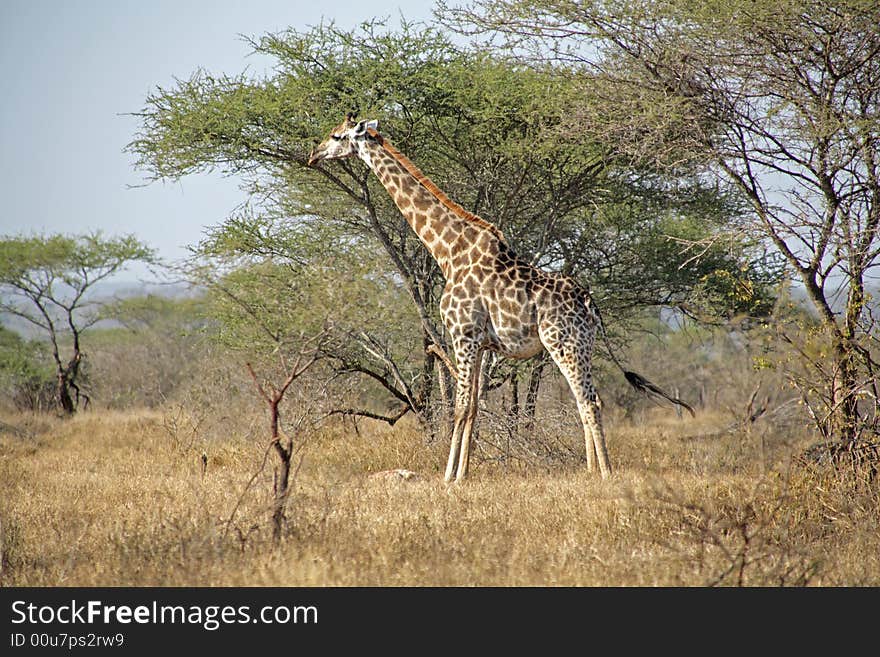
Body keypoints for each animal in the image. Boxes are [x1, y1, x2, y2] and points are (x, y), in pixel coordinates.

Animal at [310, 114, 696, 482]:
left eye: (336, 135)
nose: (314, 154)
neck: (448, 252)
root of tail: (589, 303)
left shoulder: (462, 335)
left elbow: (459, 407)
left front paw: (449, 477)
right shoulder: (481, 344)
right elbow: (474, 408)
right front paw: (463, 473)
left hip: (563, 343)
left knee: (590, 402)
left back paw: (605, 474)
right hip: (582, 346)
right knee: (585, 399)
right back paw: (589, 471)